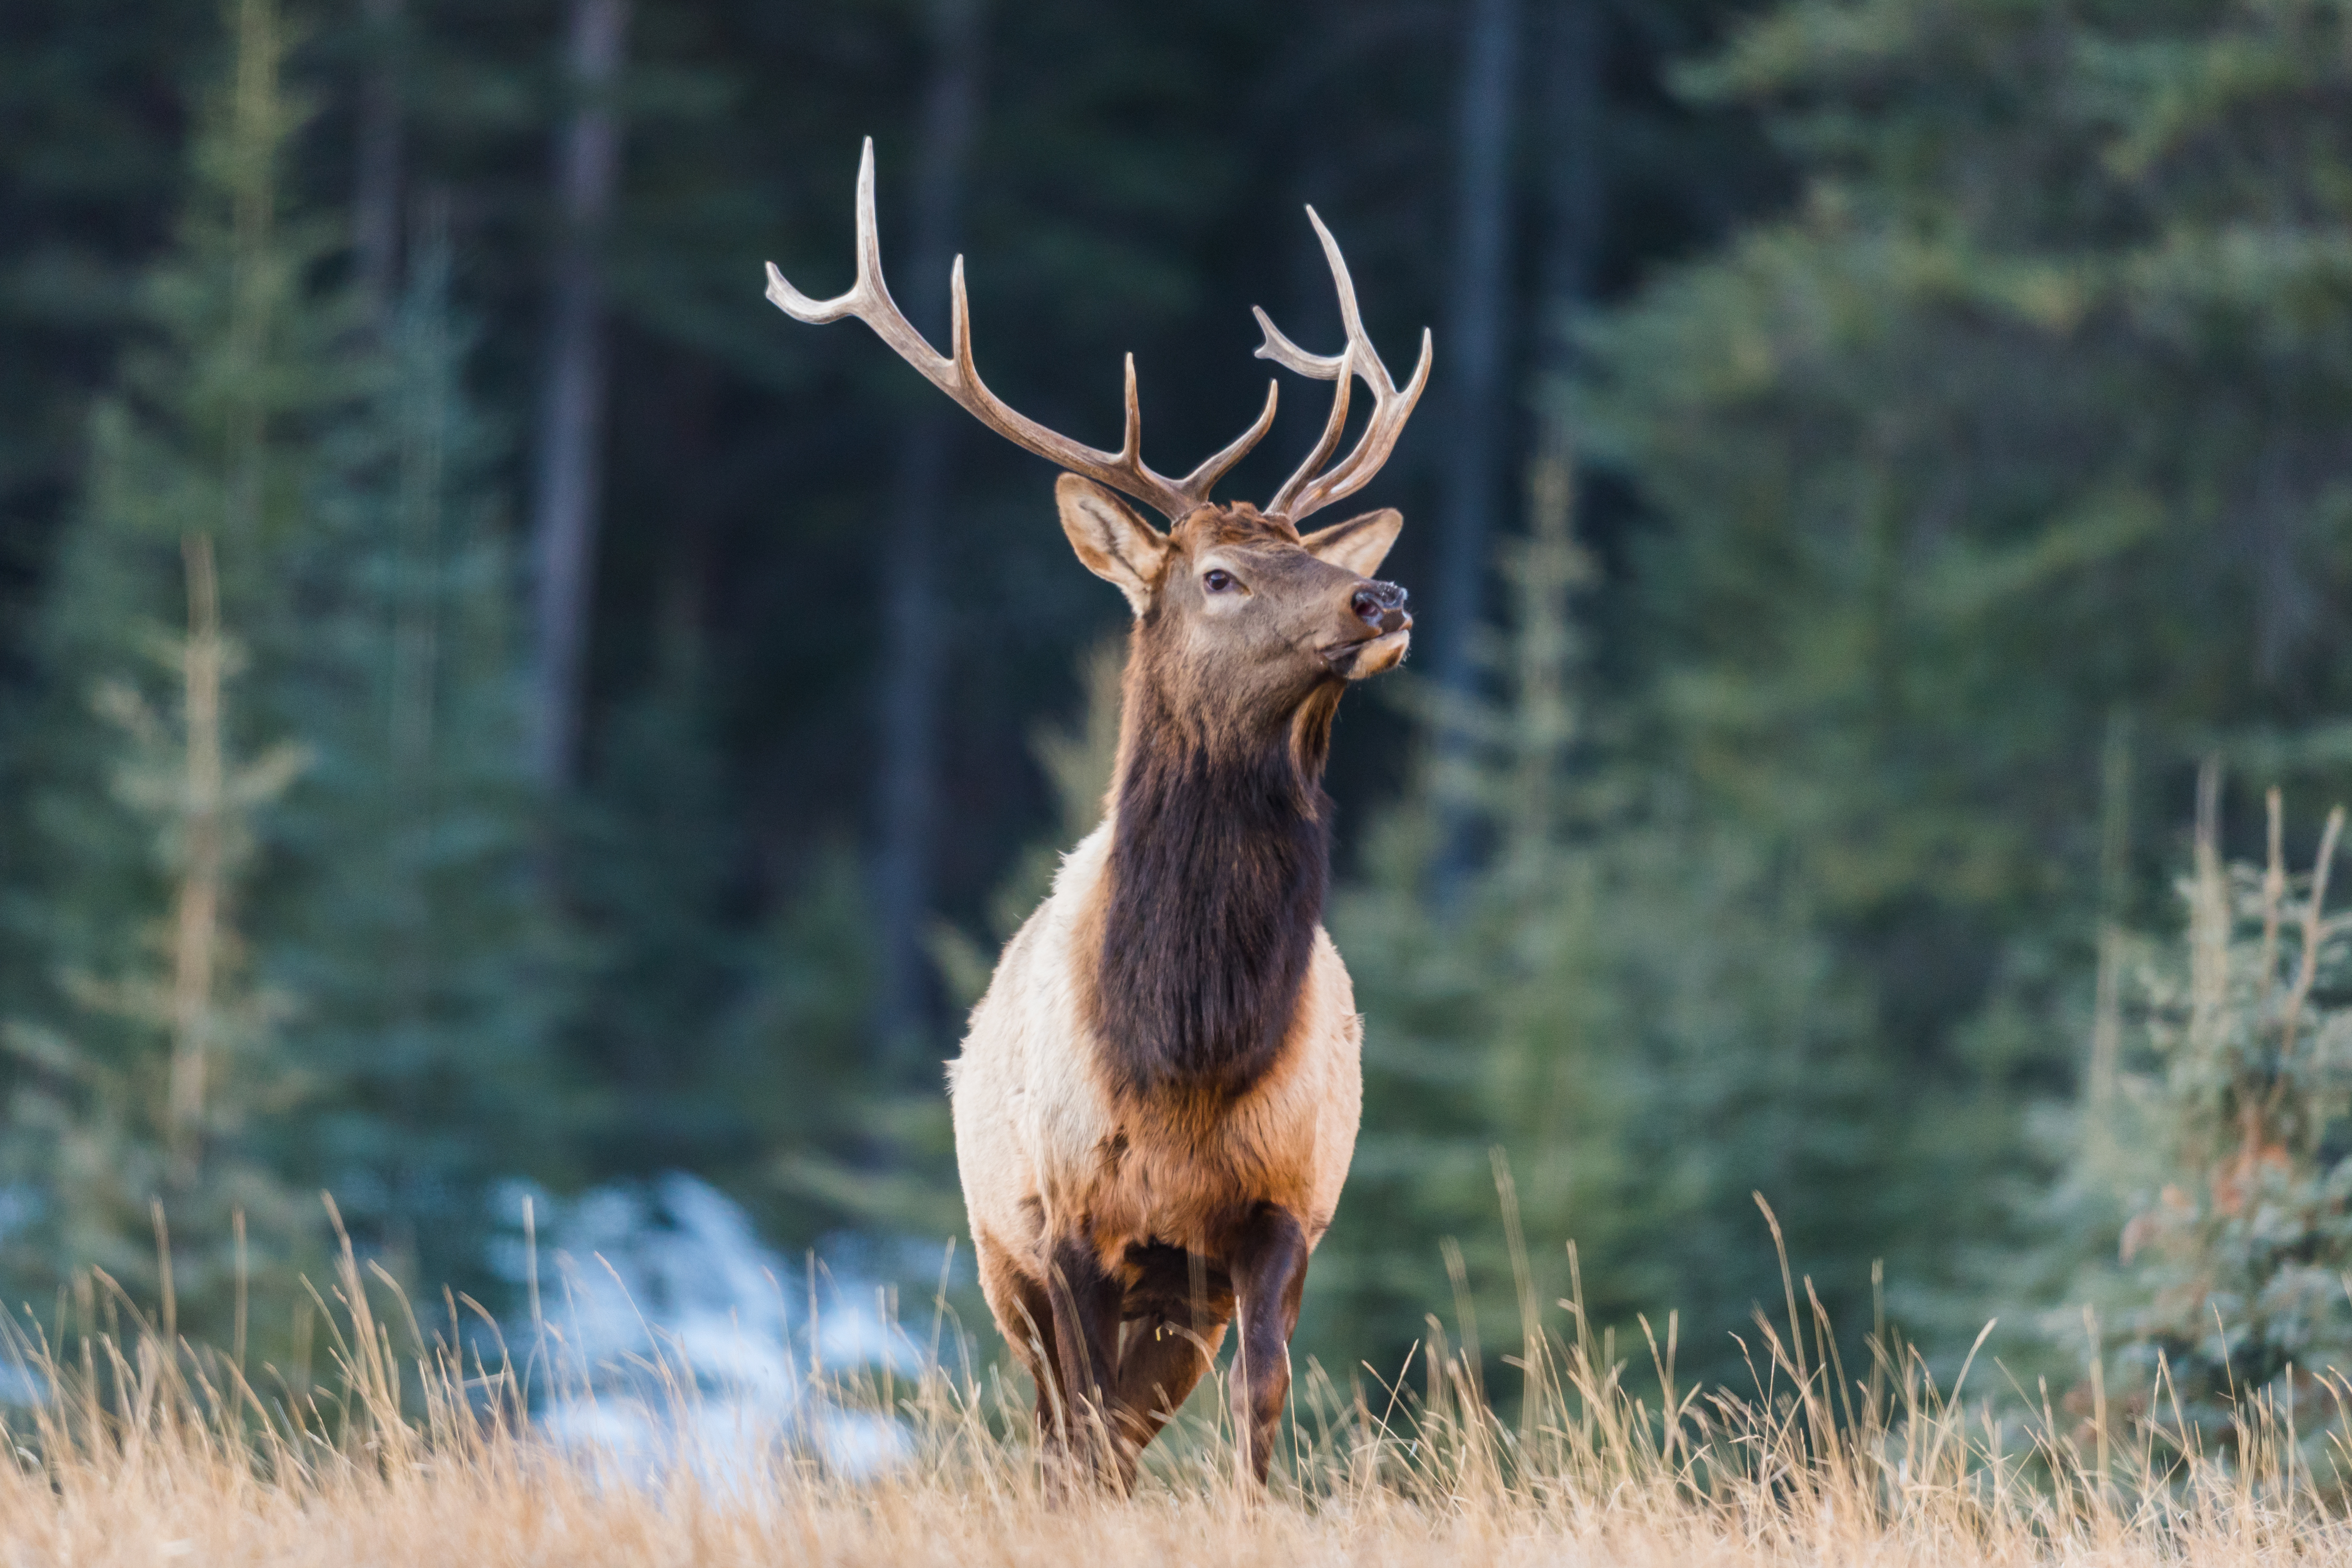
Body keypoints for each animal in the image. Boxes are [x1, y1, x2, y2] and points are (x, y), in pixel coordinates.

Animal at [765, 140, 1429, 1489]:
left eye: (1313, 555)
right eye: (1220, 575)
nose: (1382, 596)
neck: (1185, 1056)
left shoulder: (1282, 1207)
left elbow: (1260, 1412)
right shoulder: (1063, 1218)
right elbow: (1074, 1432)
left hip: (1179, 1302)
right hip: (997, 1253)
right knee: (1064, 1431)